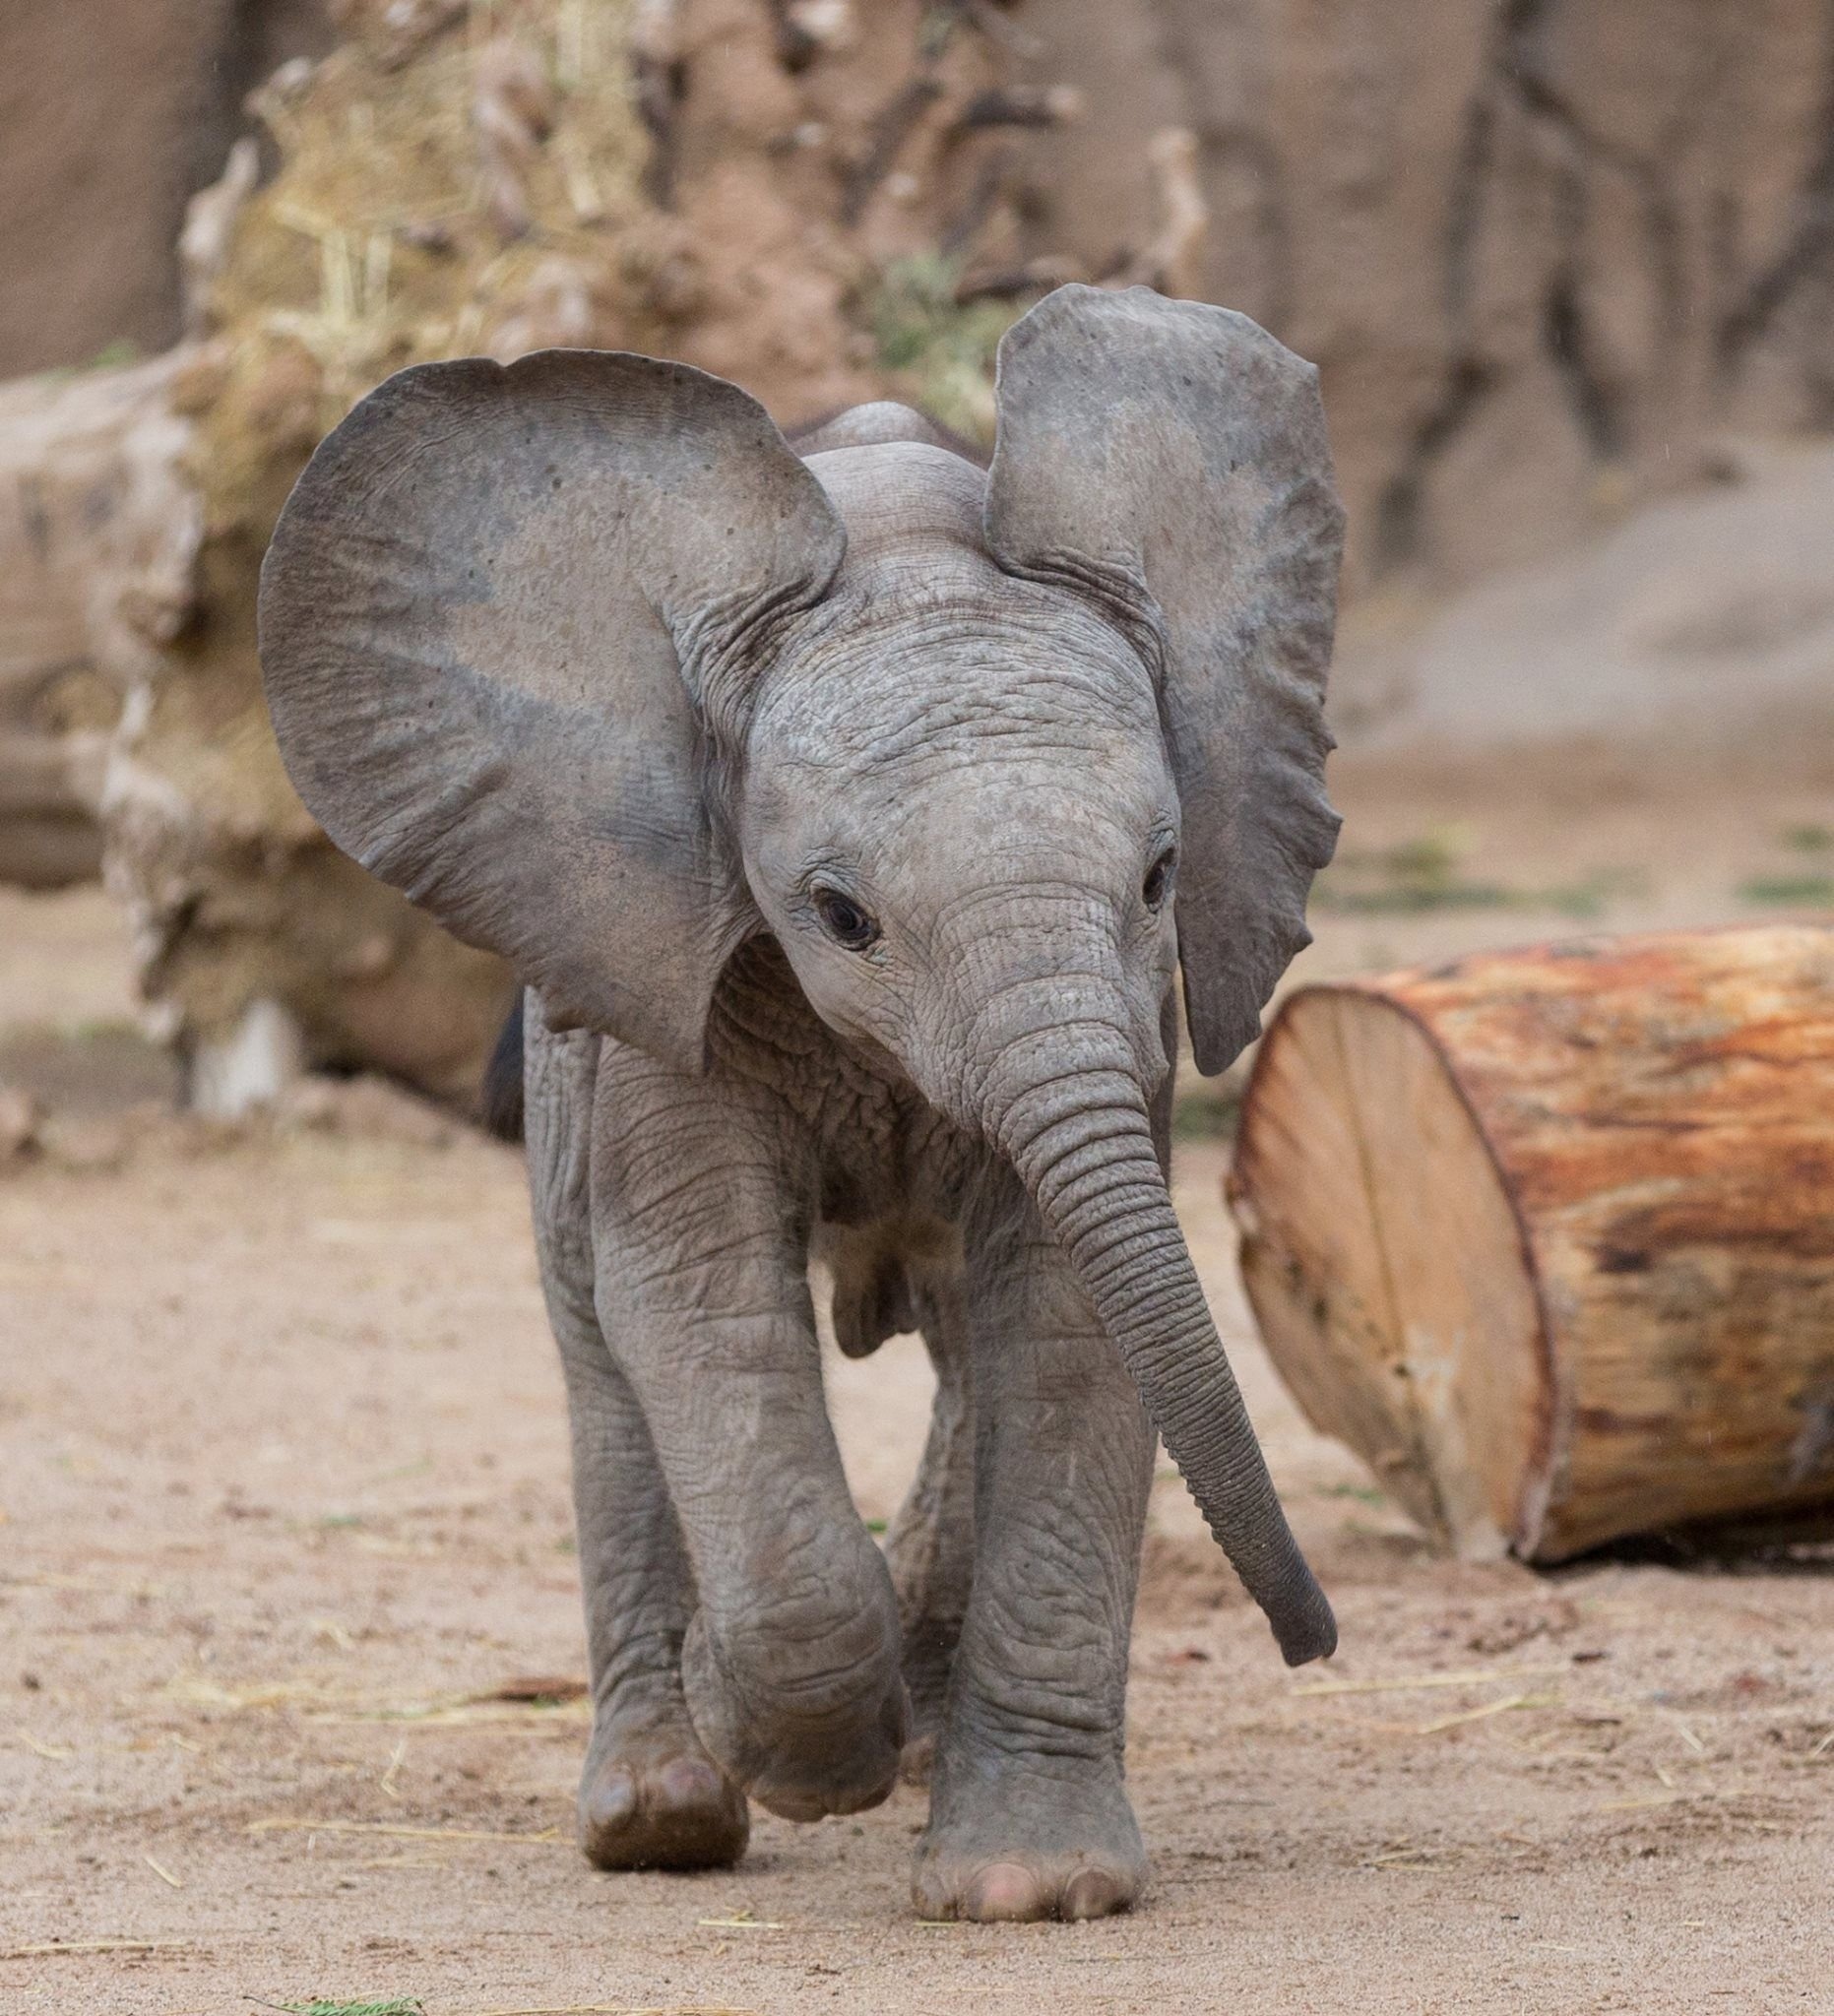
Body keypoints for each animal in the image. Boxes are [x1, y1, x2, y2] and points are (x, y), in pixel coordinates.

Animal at [258, 284, 1346, 1919]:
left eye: (1161, 877)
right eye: (838, 915)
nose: (1311, 1640)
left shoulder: (1129, 1025)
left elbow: (1069, 1313)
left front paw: (1027, 1890)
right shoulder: (666, 975)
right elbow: (697, 1297)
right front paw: (795, 1750)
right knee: (598, 1354)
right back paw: (662, 1813)